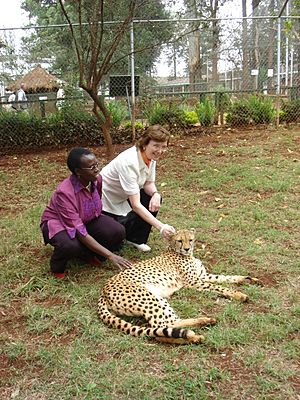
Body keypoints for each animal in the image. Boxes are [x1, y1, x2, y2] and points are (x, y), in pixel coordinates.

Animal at [97, 228, 258, 344]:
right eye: (180, 241)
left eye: (190, 240)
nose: (186, 248)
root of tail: (103, 290)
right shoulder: (194, 282)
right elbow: (219, 287)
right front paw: (239, 294)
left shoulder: (202, 276)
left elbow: (226, 277)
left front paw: (249, 279)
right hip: (148, 299)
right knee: (158, 329)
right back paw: (189, 337)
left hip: (158, 298)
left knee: (170, 323)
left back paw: (200, 326)